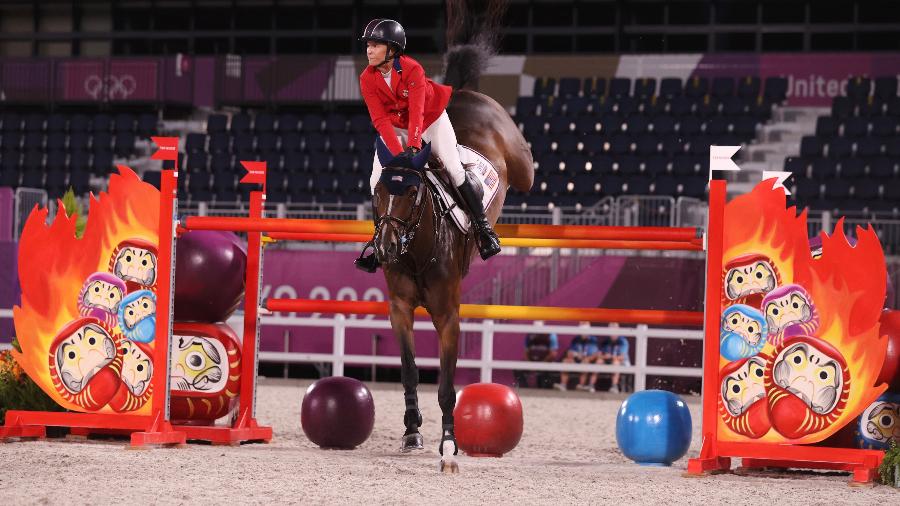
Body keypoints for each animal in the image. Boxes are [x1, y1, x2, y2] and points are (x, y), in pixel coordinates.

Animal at [370, 0, 536, 474]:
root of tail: (460, 92)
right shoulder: (400, 309)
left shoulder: (449, 315)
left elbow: (446, 384)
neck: (417, 248)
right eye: (377, 192)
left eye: (412, 193)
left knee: (528, 168)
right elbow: (410, 370)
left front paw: (449, 446)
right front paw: (412, 433)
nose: (385, 248)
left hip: (518, 162)